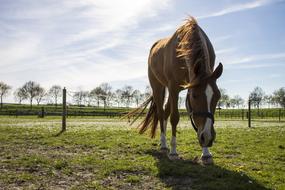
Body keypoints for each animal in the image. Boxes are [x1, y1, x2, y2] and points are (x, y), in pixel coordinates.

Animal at [126, 17, 222, 164]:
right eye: (194, 96)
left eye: (218, 96)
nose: (207, 137)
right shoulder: (173, 88)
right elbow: (175, 118)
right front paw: (173, 152)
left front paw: (206, 153)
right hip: (158, 87)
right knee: (161, 114)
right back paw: (164, 146)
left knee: (165, 113)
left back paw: (163, 143)